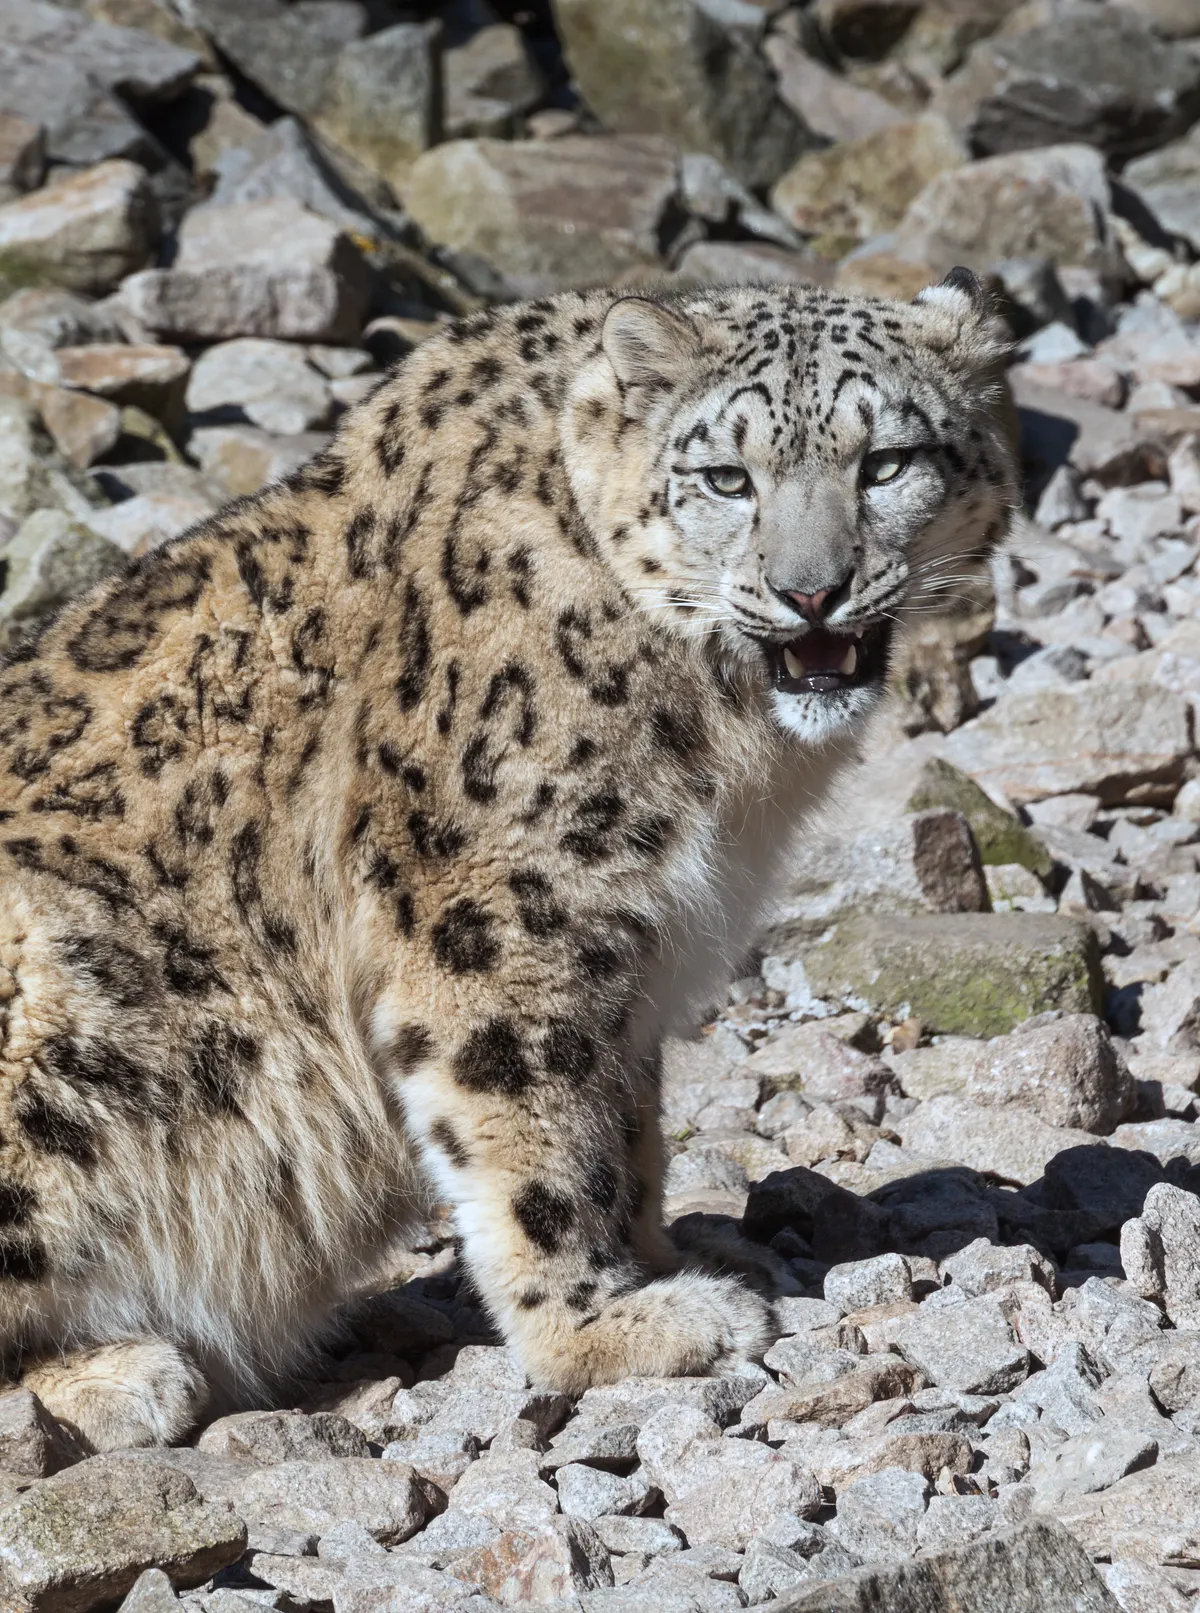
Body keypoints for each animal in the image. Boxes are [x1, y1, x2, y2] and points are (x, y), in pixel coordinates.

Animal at [0, 271, 1016, 1450]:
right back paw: (121, 1372)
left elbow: (625, 1123)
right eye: (727, 477)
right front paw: (607, 1326)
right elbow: (535, 1128)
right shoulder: (504, 908)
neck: (727, 761)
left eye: (885, 461)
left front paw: (674, 1253)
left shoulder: (634, 941)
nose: (812, 590)